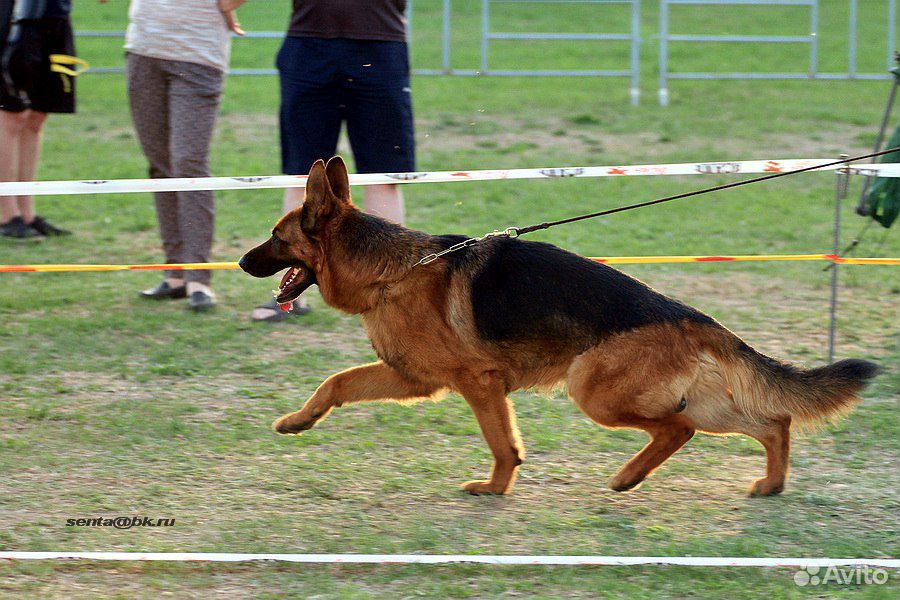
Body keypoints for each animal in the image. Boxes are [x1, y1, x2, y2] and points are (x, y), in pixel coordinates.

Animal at [241, 156, 880, 496]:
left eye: (276, 237)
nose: (243, 262)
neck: (392, 269)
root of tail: (687, 315)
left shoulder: (476, 385)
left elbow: (501, 443)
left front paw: (494, 488)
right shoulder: (414, 379)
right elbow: (337, 383)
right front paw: (298, 421)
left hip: (593, 390)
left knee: (678, 431)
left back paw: (627, 478)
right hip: (693, 400)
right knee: (772, 421)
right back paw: (767, 485)